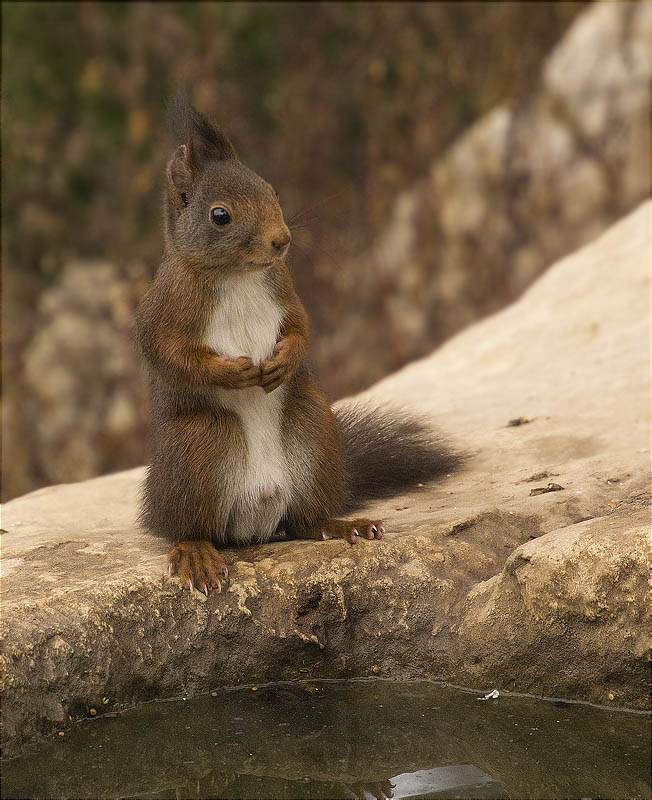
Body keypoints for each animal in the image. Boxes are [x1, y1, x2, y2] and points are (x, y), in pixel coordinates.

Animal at [134, 92, 458, 592]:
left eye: (273, 191)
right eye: (220, 215)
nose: (282, 240)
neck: (238, 274)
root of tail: (254, 523)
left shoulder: (284, 287)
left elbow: (302, 327)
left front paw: (284, 360)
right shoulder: (167, 304)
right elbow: (168, 353)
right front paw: (232, 371)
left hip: (312, 425)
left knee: (305, 522)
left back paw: (342, 525)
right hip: (199, 443)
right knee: (190, 527)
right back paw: (195, 553)